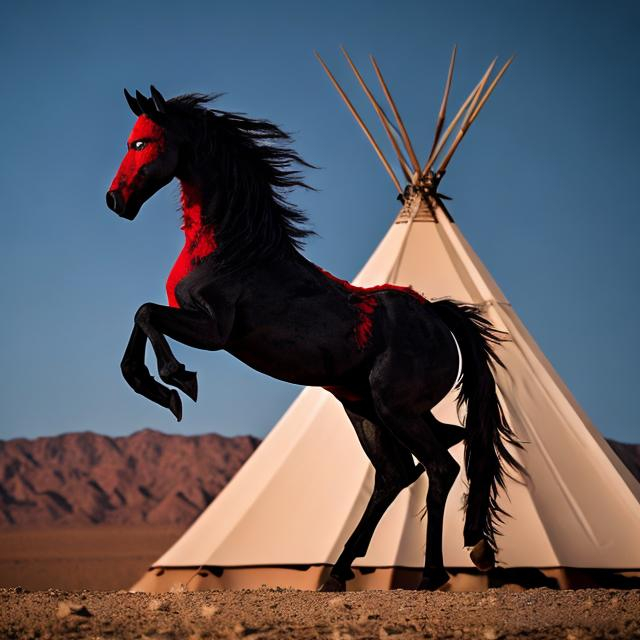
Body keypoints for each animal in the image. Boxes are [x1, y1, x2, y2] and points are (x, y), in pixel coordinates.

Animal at [106, 87, 524, 592]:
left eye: (141, 143)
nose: (114, 200)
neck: (235, 249)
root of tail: (438, 318)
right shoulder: (196, 321)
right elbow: (138, 326)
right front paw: (158, 387)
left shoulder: (214, 330)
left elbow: (147, 314)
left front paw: (179, 383)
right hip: (368, 410)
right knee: (413, 465)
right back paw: (355, 569)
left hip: (395, 408)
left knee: (440, 464)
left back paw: (432, 573)